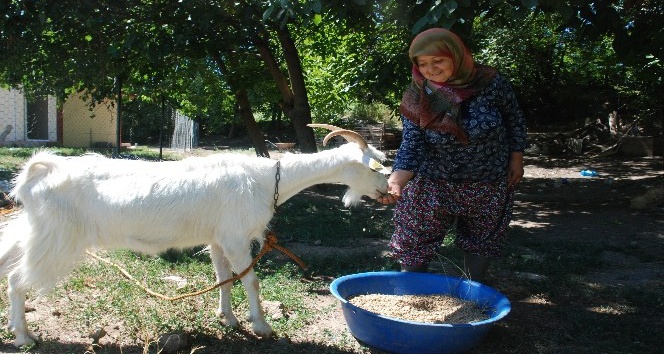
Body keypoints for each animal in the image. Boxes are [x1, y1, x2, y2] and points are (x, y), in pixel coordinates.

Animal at [0, 126, 390, 346]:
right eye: (377, 166)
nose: (389, 190)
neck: (267, 179)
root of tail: (39, 174)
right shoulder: (236, 237)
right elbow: (250, 280)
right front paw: (261, 326)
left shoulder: (218, 238)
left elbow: (224, 277)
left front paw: (228, 319)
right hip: (56, 238)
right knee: (18, 280)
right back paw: (23, 337)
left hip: (35, 231)